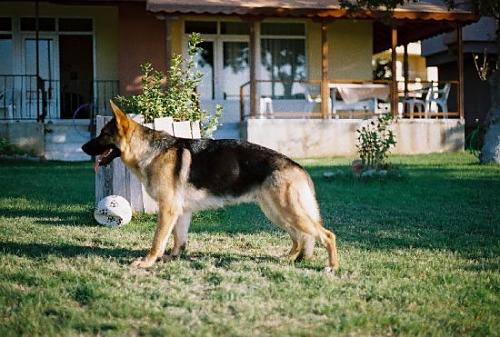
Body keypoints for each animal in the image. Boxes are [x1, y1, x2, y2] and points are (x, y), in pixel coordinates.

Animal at [82, 101, 340, 272]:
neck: (150, 151)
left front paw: (147, 262)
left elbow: (158, 241)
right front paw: (173, 258)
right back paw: (288, 259)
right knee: (299, 238)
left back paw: (331, 267)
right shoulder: (181, 212)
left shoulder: (167, 210)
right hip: (277, 213)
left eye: (102, 134)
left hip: (288, 212)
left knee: (327, 235)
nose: (83, 148)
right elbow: (178, 239)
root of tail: (298, 167)